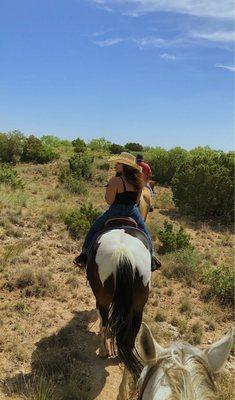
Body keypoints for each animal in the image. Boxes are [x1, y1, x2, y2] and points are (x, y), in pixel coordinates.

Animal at [86, 220, 151, 398]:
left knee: (104, 323)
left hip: (103, 299)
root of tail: (123, 252)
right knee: (130, 337)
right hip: (137, 309)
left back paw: (103, 351)